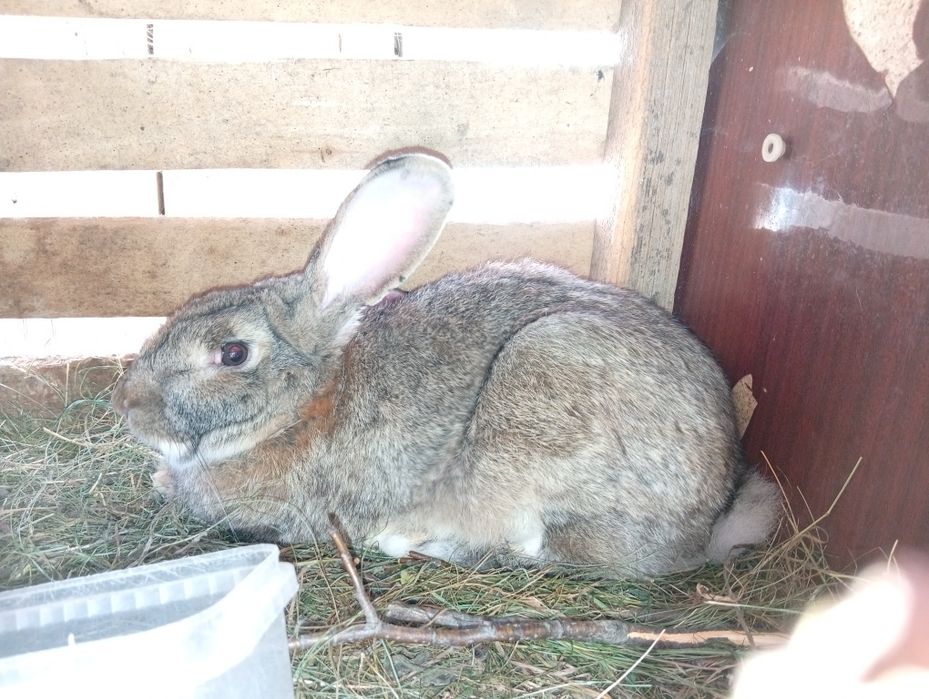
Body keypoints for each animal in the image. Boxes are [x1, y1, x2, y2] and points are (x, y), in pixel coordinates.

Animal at [112, 152, 780, 577]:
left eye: (231, 353)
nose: (124, 405)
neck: (299, 409)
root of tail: (712, 518)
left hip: (538, 400)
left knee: (540, 548)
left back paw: (417, 540)